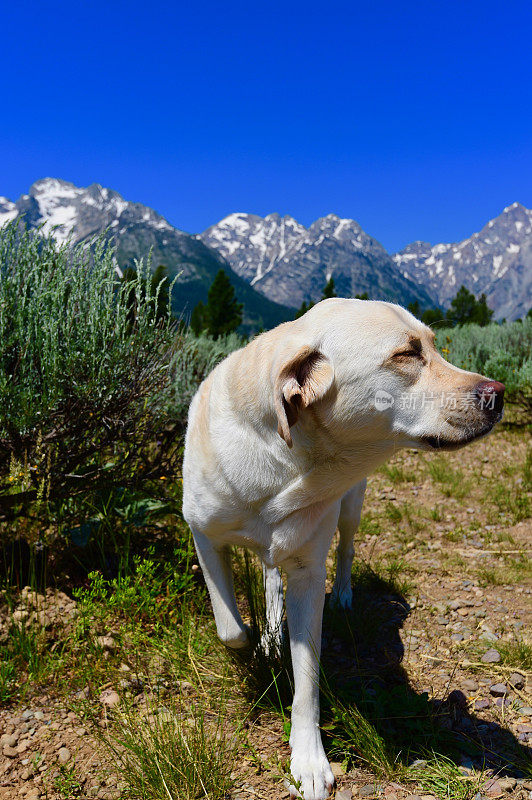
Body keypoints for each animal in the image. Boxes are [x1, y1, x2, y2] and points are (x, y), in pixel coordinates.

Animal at [183, 298, 502, 800]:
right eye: (406, 354)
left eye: (433, 345)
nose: (500, 394)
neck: (286, 464)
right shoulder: (202, 534)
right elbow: (230, 628)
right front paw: (256, 648)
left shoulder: (310, 572)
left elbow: (308, 680)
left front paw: (308, 759)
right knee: (268, 574)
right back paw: (269, 626)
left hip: (352, 506)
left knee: (346, 549)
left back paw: (344, 596)